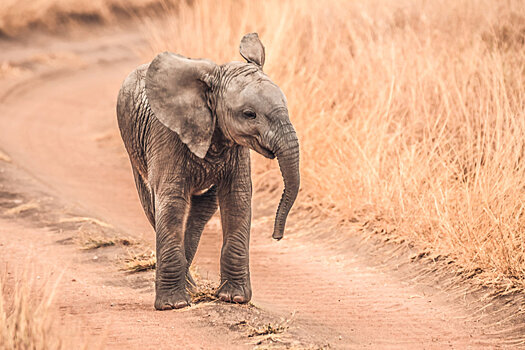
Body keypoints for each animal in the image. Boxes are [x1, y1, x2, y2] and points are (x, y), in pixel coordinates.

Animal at [117, 34, 300, 310]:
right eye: (249, 114)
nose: (277, 237)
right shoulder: (165, 136)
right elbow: (171, 202)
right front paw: (173, 305)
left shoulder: (236, 148)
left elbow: (237, 199)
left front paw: (233, 298)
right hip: (132, 147)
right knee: (152, 206)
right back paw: (188, 286)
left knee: (201, 210)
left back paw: (190, 282)